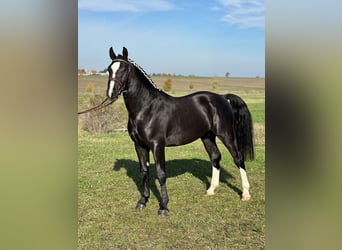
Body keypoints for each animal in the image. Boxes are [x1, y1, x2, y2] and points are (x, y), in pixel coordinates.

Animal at [107, 47, 254, 217]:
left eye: (124, 69)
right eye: (109, 69)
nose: (111, 94)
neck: (146, 109)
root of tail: (222, 98)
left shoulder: (157, 146)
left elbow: (161, 174)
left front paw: (163, 207)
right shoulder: (139, 145)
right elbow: (144, 172)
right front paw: (143, 201)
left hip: (227, 135)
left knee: (238, 159)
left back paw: (245, 194)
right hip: (207, 137)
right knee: (215, 157)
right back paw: (211, 190)